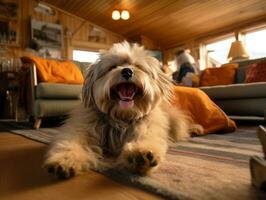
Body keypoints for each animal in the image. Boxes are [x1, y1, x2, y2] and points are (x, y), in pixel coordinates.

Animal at [43, 41, 198, 178]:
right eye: (113, 67)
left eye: (137, 66)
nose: (127, 71)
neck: (122, 117)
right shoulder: (82, 127)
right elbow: (71, 142)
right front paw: (66, 159)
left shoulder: (148, 127)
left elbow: (147, 138)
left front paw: (141, 154)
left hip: (176, 122)